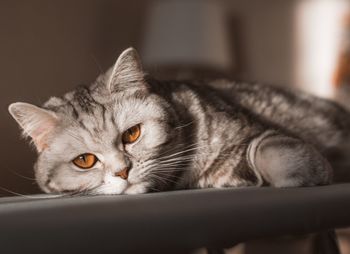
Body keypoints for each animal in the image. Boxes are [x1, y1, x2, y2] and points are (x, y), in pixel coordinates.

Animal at [7, 47, 350, 194]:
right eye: (85, 160)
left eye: (132, 134)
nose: (122, 172)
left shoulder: (251, 127)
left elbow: (267, 147)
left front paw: (304, 171)